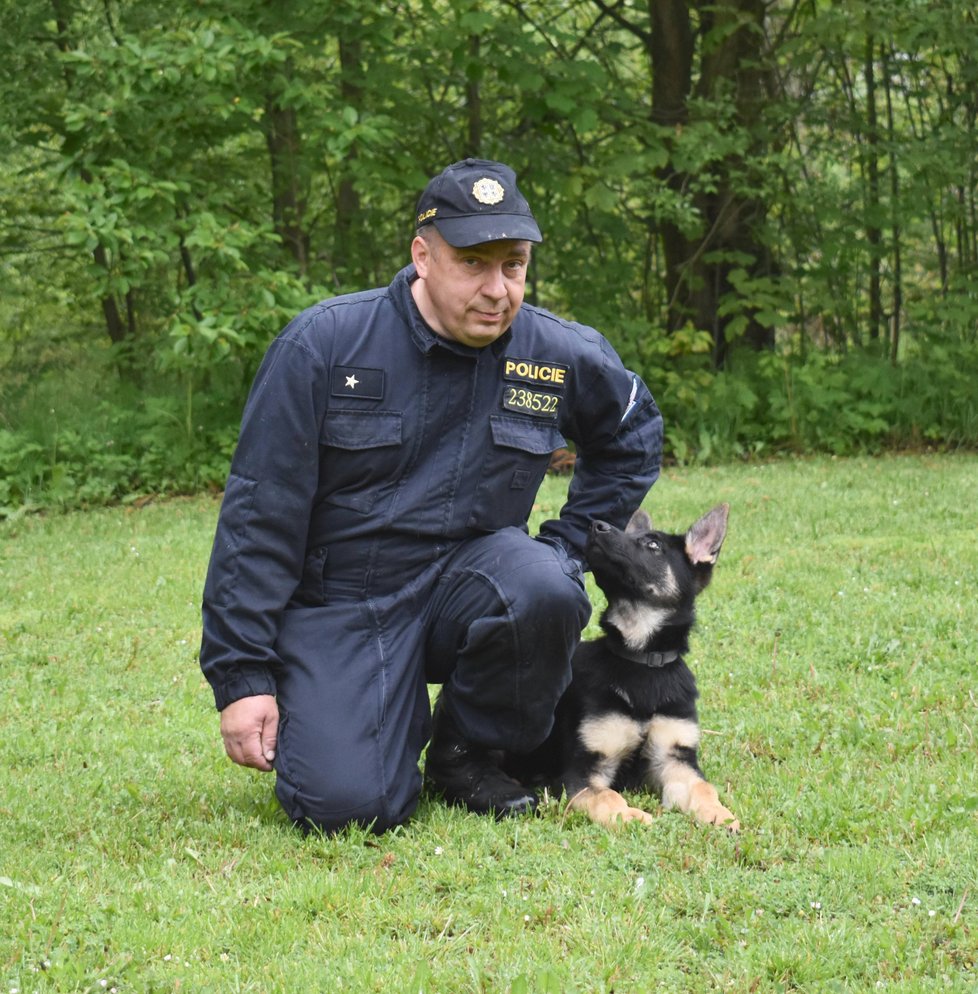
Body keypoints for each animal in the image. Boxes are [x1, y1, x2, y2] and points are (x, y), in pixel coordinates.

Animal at [508, 504, 736, 828]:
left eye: (652, 545)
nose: (595, 526)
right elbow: (607, 796)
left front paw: (719, 814)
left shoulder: (675, 759)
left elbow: (703, 787)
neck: (642, 660)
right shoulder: (584, 769)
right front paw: (627, 815)